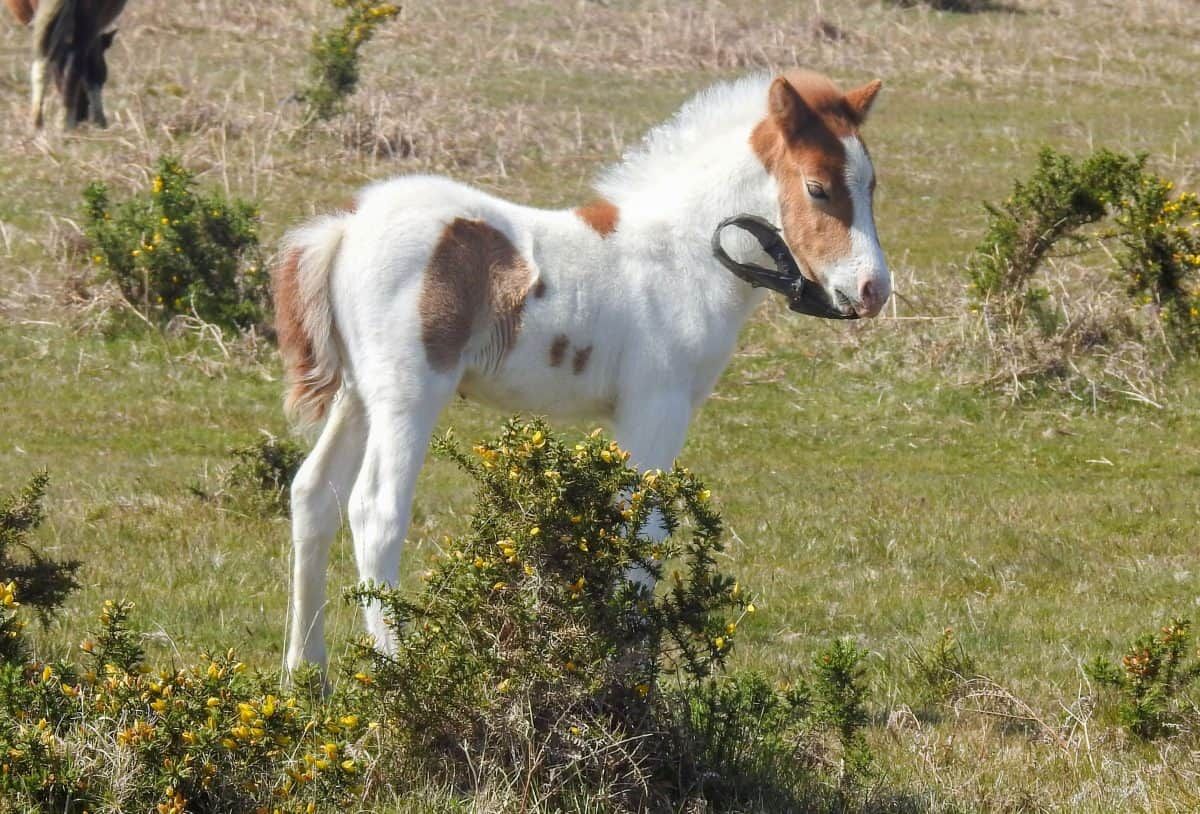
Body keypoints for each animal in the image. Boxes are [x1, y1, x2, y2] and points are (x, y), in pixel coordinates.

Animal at [274, 70, 892, 677]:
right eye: (817, 188)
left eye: (871, 185)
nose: (873, 290)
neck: (680, 256)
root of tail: (347, 227)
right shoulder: (656, 408)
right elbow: (643, 531)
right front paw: (628, 684)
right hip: (407, 393)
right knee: (375, 509)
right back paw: (401, 678)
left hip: (358, 395)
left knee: (313, 494)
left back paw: (306, 674)